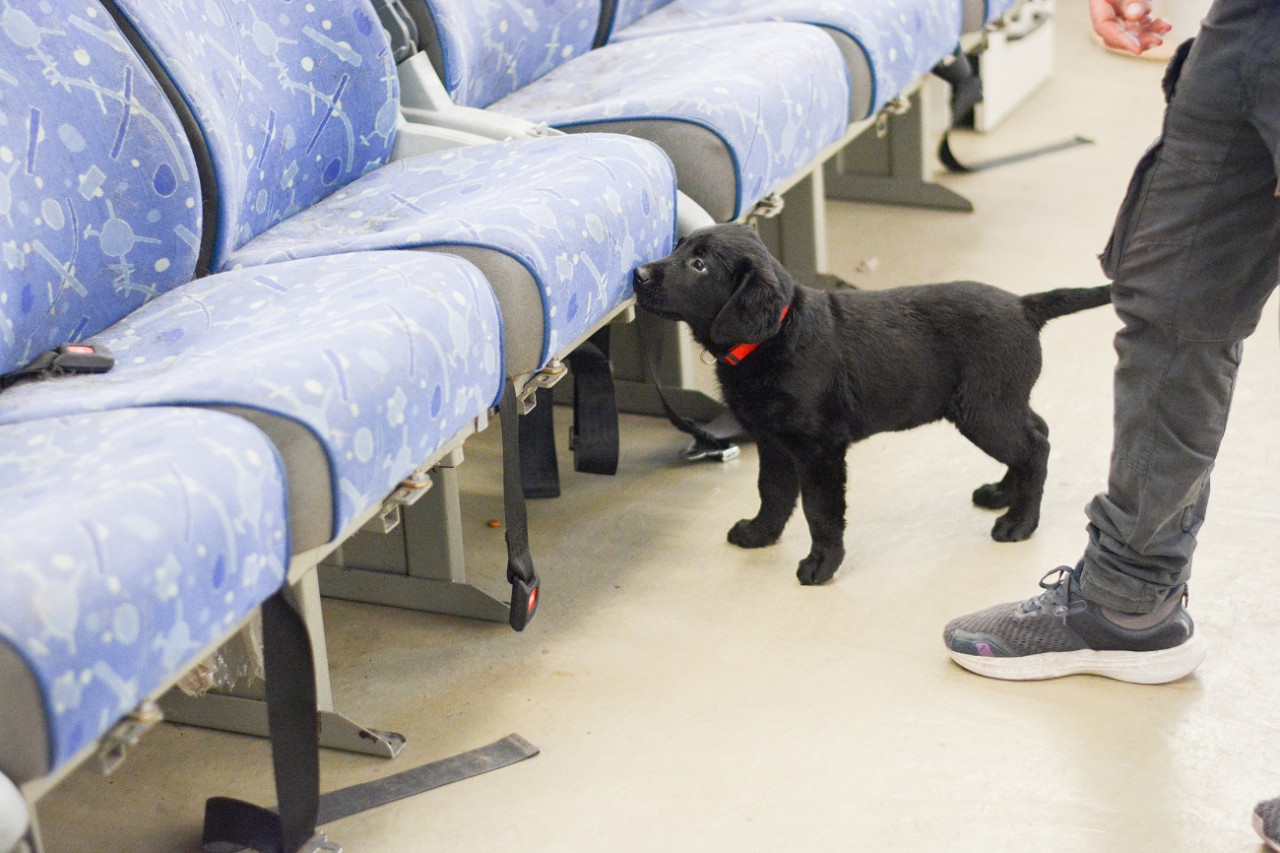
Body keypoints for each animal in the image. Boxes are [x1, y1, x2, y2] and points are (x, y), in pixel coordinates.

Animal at [637, 222, 1111, 584]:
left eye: (699, 265)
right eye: (678, 246)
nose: (638, 274)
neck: (775, 336)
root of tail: (1023, 305)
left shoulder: (819, 449)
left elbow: (820, 510)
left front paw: (821, 565)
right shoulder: (773, 440)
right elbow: (772, 491)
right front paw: (759, 533)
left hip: (984, 411)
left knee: (1035, 447)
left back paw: (1019, 522)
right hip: (1000, 403)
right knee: (1035, 431)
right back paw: (1002, 494)